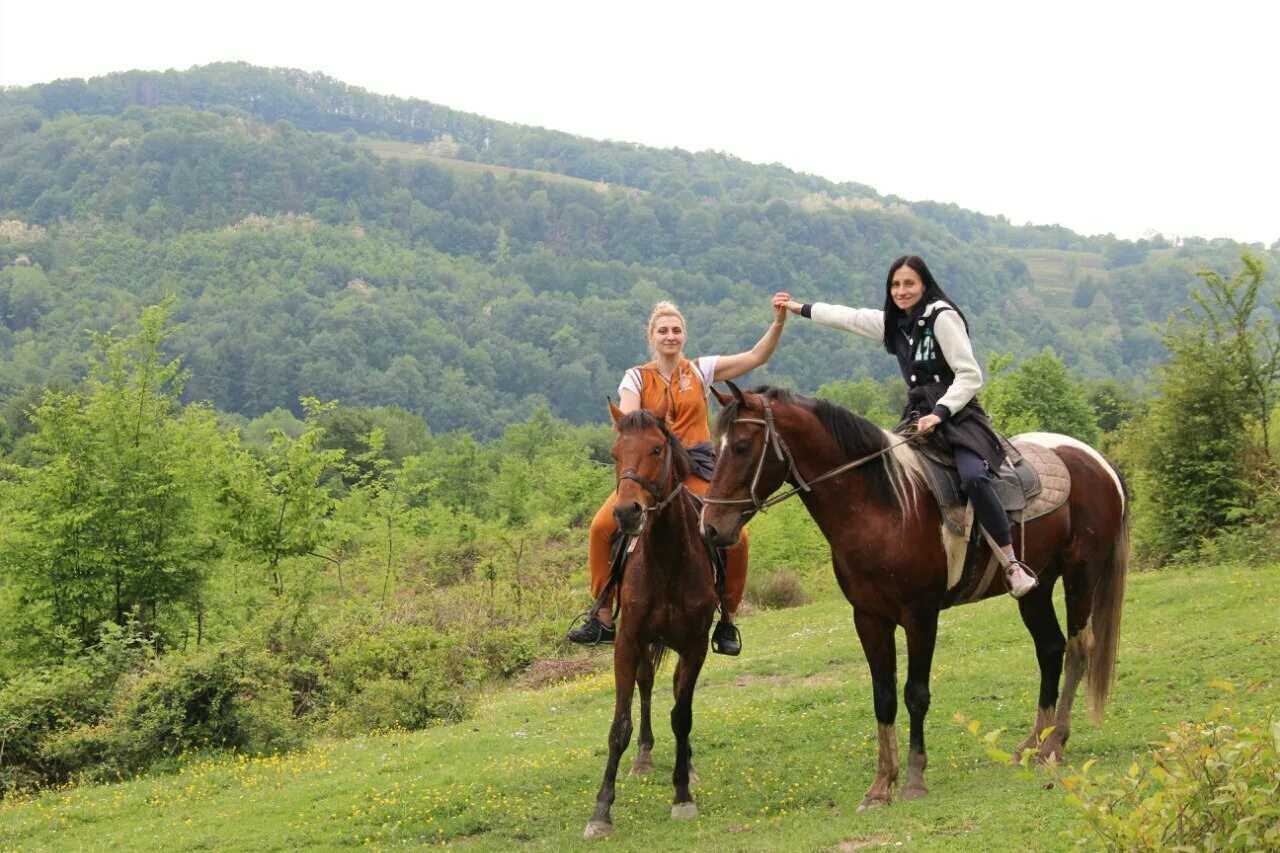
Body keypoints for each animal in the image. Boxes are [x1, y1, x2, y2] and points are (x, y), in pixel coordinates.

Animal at [586, 399, 727, 835]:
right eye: (615, 453)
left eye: (656, 449)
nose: (626, 512)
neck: (666, 559)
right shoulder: (628, 641)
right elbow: (620, 725)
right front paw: (601, 812)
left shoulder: (695, 645)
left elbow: (682, 716)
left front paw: (682, 796)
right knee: (645, 685)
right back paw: (644, 757)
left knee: (678, 693)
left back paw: (689, 765)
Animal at [701, 381, 1131, 809]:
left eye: (741, 446)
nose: (710, 527)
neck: (884, 507)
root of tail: (1099, 462)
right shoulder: (869, 618)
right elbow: (884, 697)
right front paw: (880, 786)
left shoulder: (920, 615)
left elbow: (915, 694)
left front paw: (913, 779)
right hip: (1036, 589)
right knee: (1050, 649)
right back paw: (1033, 744)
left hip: (1080, 577)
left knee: (1078, 649)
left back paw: (1054, 744)